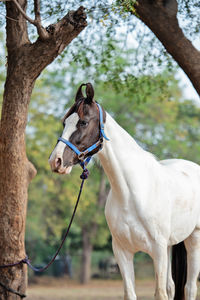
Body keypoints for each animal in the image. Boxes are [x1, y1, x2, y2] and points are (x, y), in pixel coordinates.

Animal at [48, 83, 200, 298]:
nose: (56, 161)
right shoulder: (122, 252)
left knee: (190, 287)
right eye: (64, 123)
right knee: (172, 286)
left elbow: (160, 293)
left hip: (194, 239)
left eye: (83, 122)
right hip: (171, 244)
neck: (132, 193)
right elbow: (131, 293)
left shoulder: (158, 252)